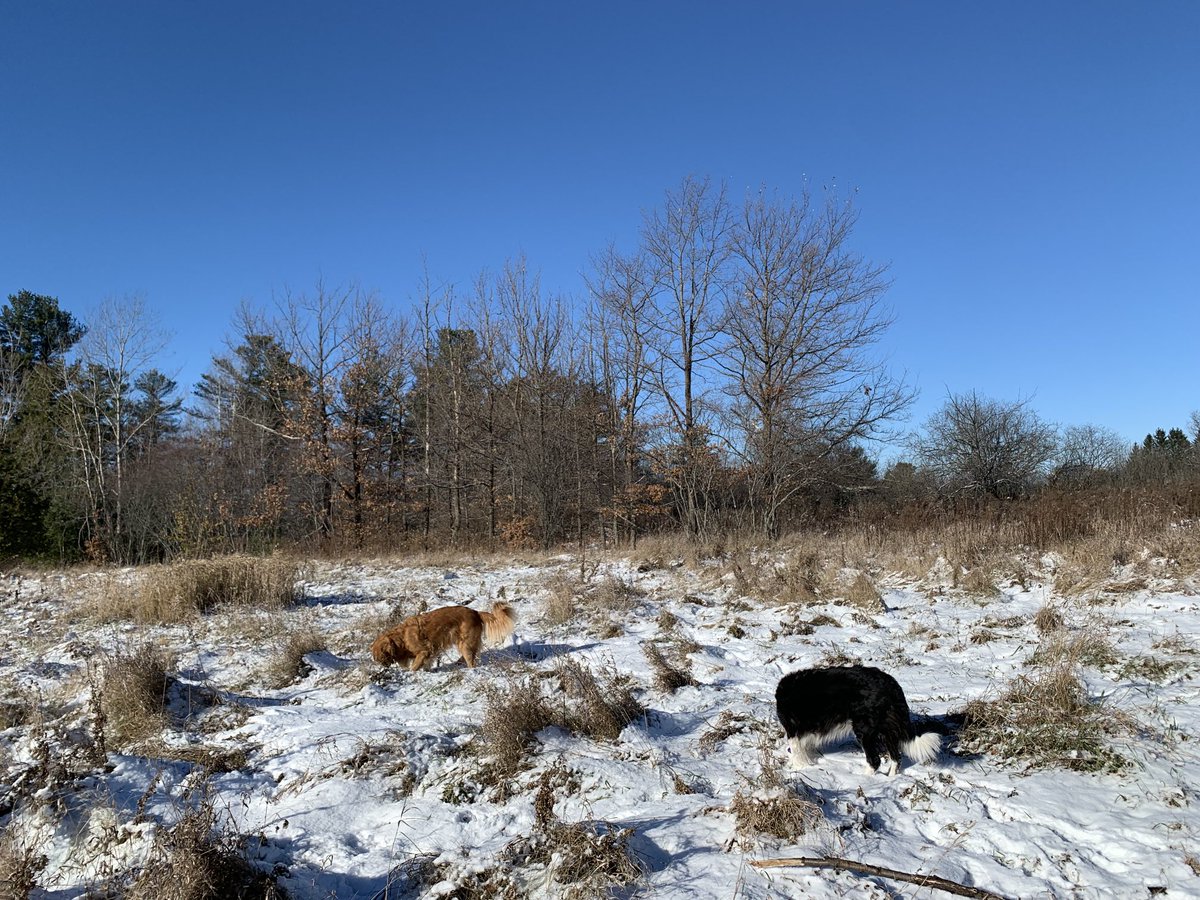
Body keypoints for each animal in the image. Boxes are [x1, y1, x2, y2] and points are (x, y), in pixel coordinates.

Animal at [367, 602, 513, 672]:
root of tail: (476, 612)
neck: (401, 639)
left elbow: (414, 666)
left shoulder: (424, 651)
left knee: (471, 660)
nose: (383, 667)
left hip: (465, 643)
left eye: (380, 658)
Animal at [772, 667, 940, 777]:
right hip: (887, 730)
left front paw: (797, 769)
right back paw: (890, 778)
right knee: (895, 758)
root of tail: (890, 684)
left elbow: (796, 752)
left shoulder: (792, 730)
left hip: (863, 730)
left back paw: (863, 779)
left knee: (874, 760)